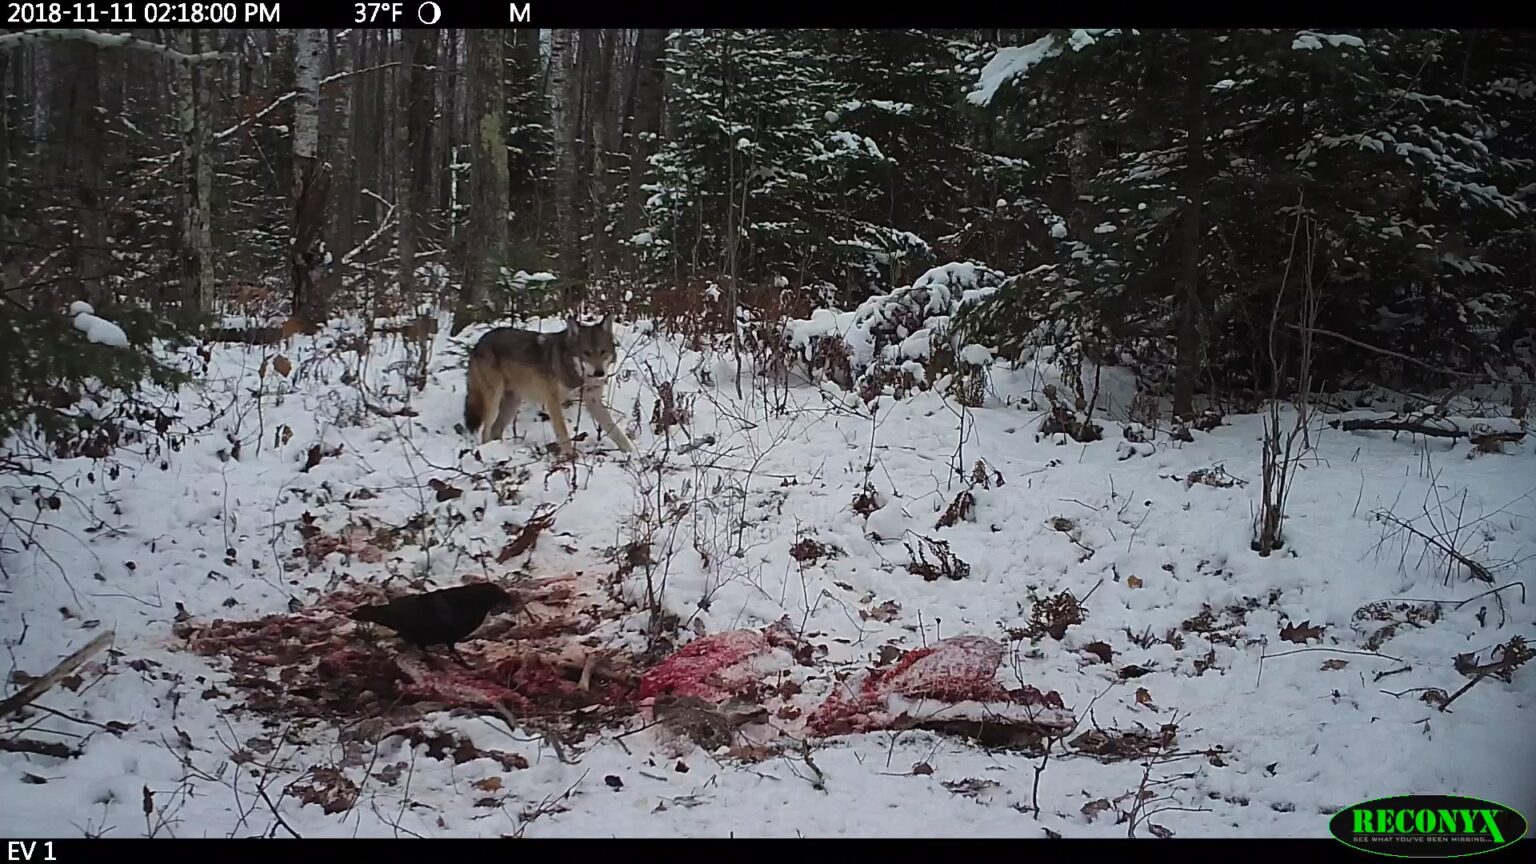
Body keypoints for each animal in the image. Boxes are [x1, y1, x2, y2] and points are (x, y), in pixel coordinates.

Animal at [466, 312, 635, 455]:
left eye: (603, 352)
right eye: (586, 353)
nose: (599, 373)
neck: (574, 372)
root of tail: (479, 342)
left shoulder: (594, 401)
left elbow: (614, 430)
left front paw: (631, 453)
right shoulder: (552, 401)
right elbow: (563, 433)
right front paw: (570, 458)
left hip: (512, 402)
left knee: (496, 429)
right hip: (494, 398)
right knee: (485, 431)